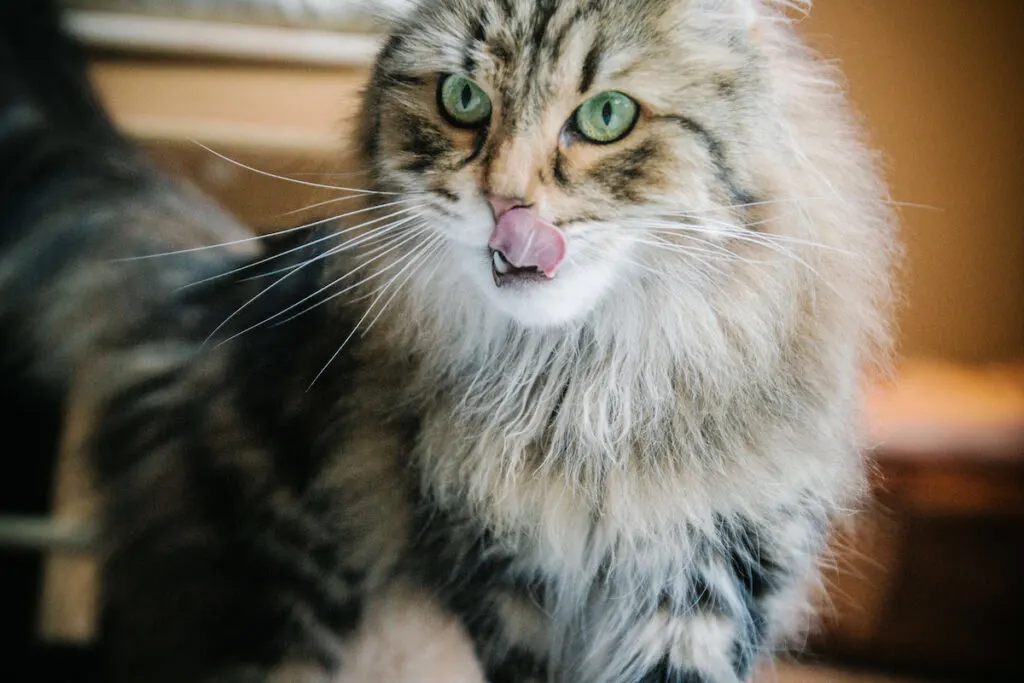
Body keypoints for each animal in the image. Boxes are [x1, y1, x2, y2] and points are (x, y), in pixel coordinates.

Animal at [2, 1, 897, 683]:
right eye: (465, 99)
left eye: (606, 116)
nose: (505, 201)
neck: (579, 393)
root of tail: (225, 281)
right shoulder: (500, 584)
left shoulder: (711, 577)